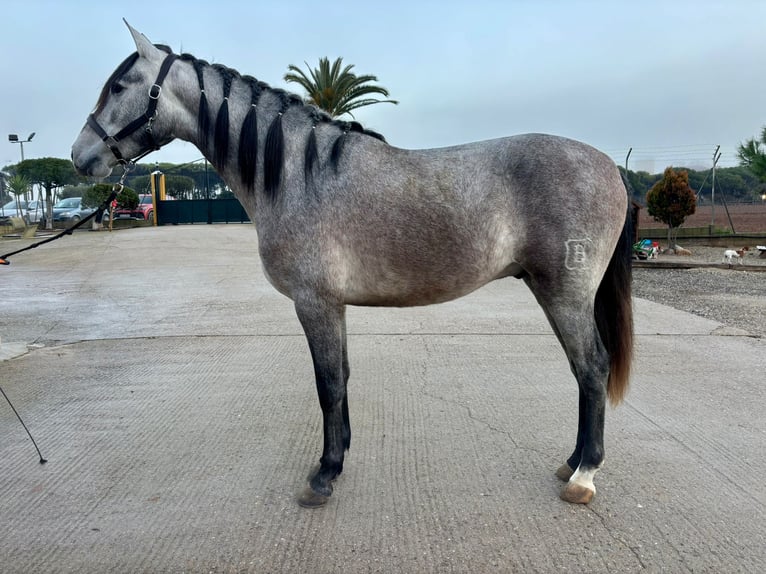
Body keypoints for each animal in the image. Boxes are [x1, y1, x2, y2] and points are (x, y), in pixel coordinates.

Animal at [71, 22, 633, 507]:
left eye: (120, 85)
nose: (81, 157)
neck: (300, 174)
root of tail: (608, 165)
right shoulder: (332, 305)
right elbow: (340, 377)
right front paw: (336, 462)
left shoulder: (315, 303)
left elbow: (327, 385)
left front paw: (323, 475)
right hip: (550, 290)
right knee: (583, 371)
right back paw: (572, 462)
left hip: (566, 294)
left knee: (592, 367)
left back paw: (584, 476)